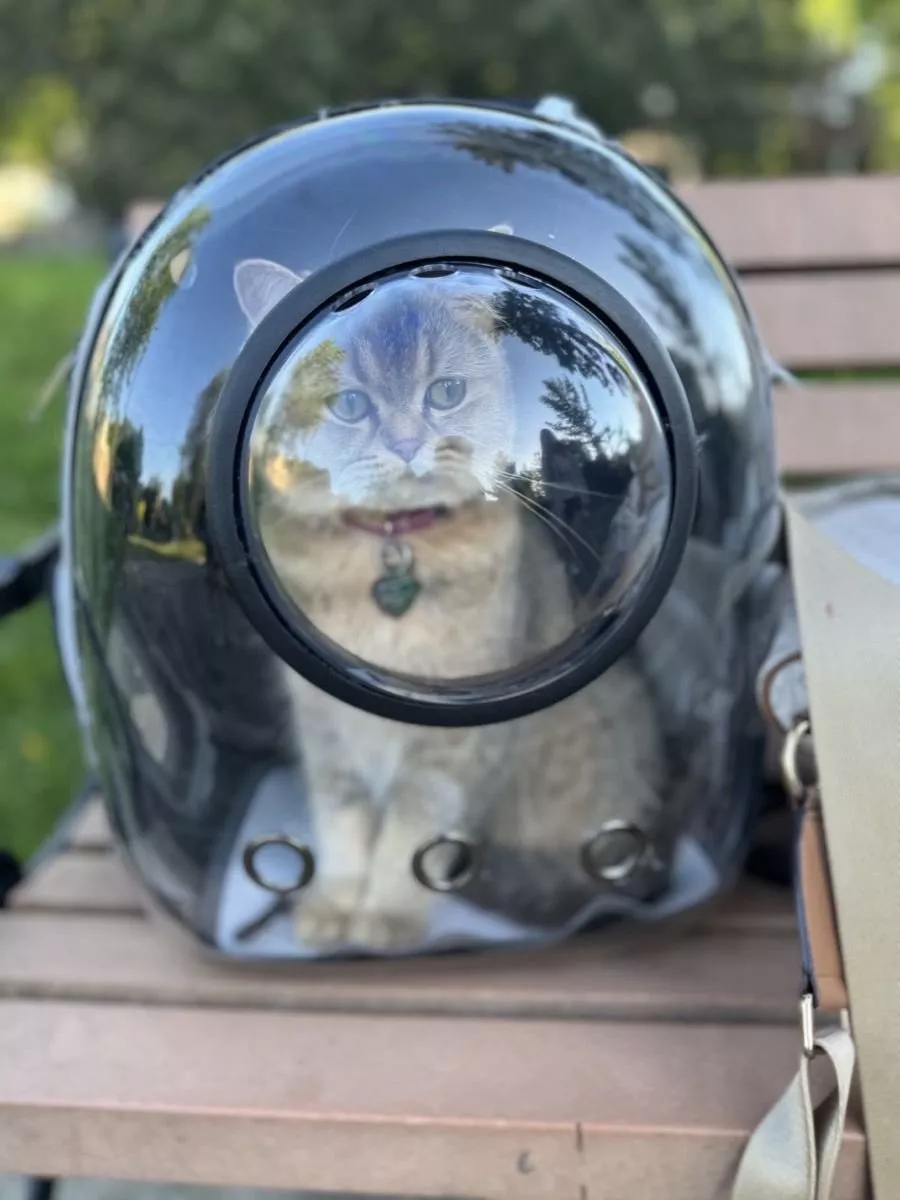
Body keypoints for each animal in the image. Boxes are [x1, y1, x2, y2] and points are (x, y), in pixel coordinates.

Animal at [233, 258, 672, 951]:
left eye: (445, 393)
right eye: (349, 404)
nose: (407, 445)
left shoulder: (450, 752)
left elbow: (413, 839)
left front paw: (385, 917)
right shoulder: (327, 734)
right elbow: (342, 825)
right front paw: (333, 906)